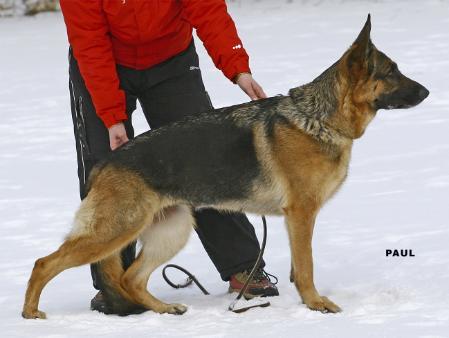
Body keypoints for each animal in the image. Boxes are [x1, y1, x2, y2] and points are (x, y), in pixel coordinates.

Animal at [21, 14, 428, 318]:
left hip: (171, 230)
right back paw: (30, 313)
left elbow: (299, 267)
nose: (427, 92)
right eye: (391, 72)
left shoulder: (298, 219)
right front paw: (316, 304)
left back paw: (164, 309)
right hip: (116, 231)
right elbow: (307, 265)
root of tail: (106, 162)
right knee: (45, 263)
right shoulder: (301, 214)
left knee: (131, 279)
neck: (319, 118)